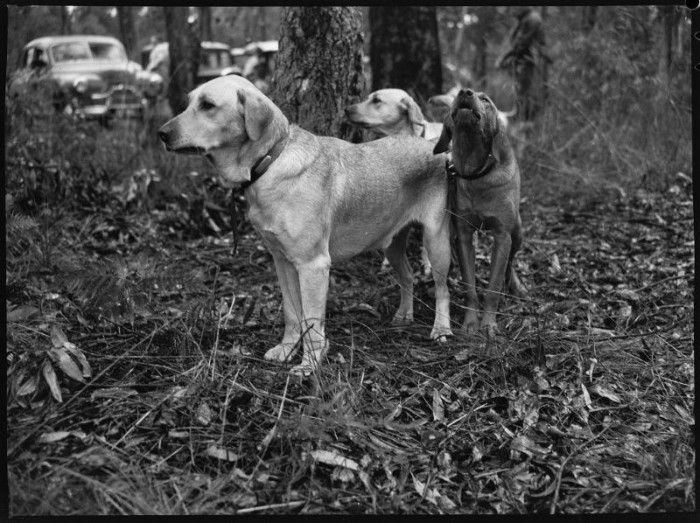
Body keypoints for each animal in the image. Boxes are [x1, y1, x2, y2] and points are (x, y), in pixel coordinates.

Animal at [159, 76, 453, 375]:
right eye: (189, 102)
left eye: (208, 105)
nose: (161, 134)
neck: (270, 162)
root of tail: (433, 146)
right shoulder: (283, 261)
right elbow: (292, 313)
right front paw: (287, 350)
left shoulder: (313, 265)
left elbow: (311, 321)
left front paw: (309, 364)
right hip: (392, 244)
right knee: (407, 276)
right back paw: (404, 315)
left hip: (436, 240)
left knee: (443, 289)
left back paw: (441, 329)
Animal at [433, 88, 526, 340]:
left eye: (486, 100)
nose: (465, 92)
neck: (477, 174)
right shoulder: (464, 235)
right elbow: (470, 287)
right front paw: (471, 322)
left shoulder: (503, 236)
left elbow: (493, 287)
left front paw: (489, 324)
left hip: (518, 232)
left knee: (511, 262)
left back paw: (516, 285)